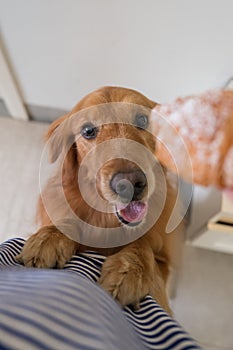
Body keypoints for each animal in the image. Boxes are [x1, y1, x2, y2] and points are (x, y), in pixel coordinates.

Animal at [17, 86, 182, 314]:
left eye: (142, 120)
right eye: (88, 130)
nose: (129, 184)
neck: (108, 220)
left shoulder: (163, 262)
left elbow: (143, 246)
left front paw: (130, 270)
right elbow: (69, 222)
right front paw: (50, 237)